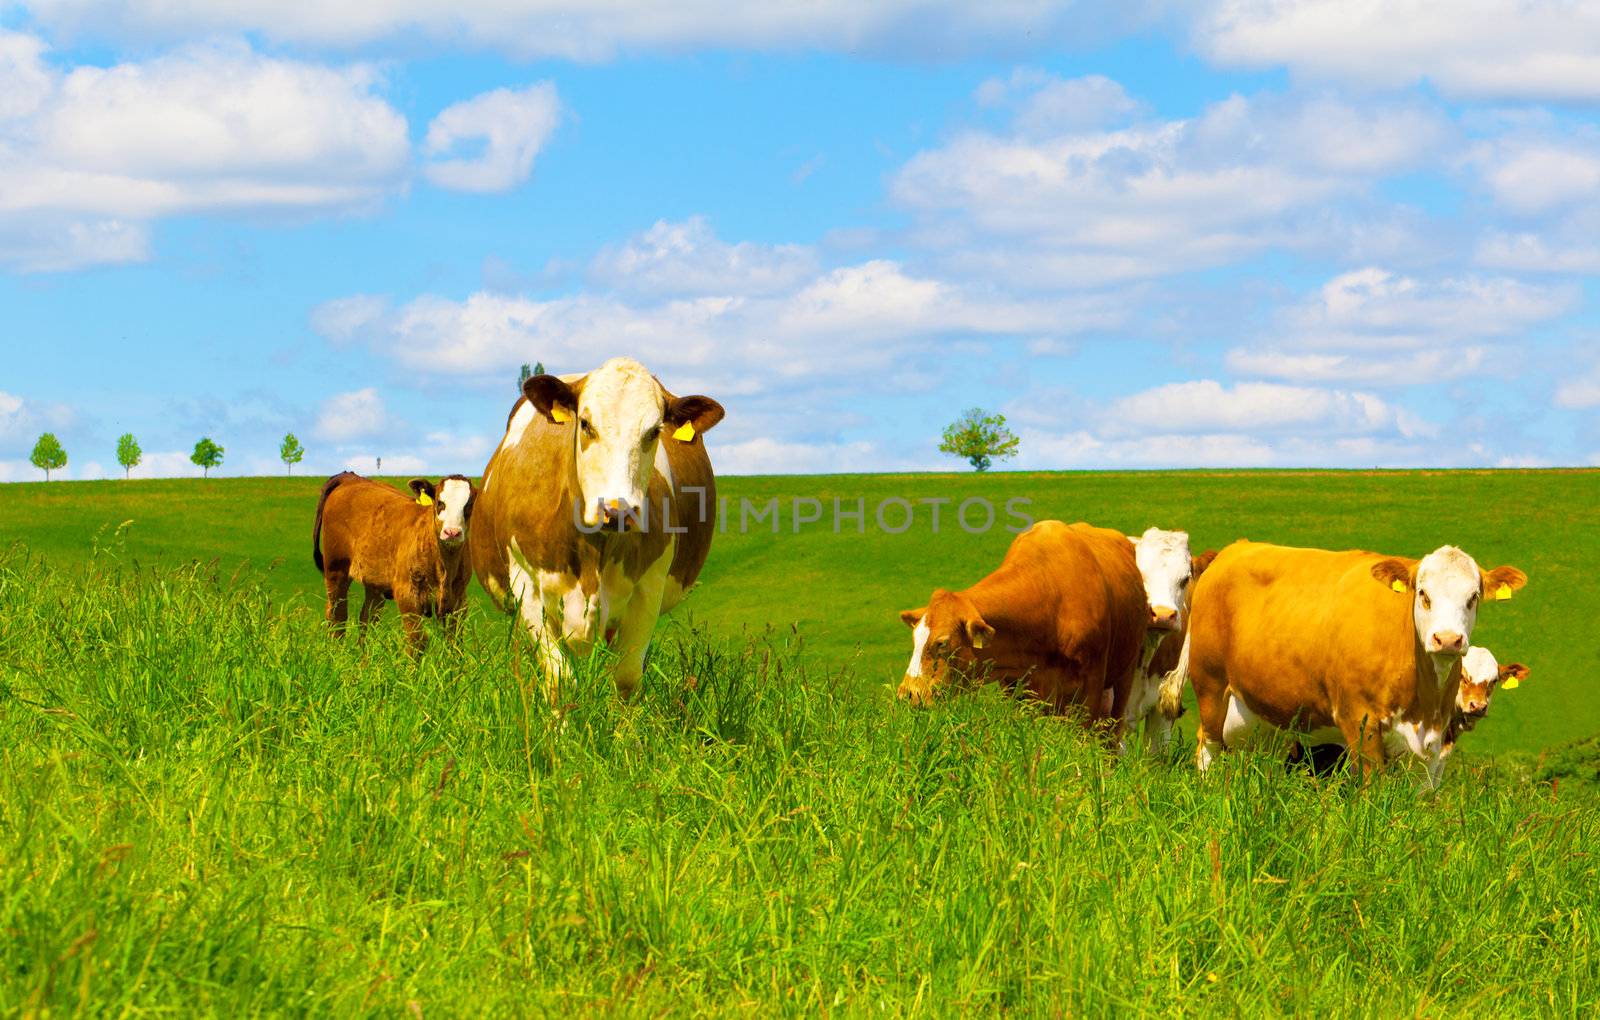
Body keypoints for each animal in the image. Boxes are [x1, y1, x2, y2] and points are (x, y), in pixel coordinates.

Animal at [312, 473, 473, 652]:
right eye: (439, 502)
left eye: (469, 505)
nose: (452, 532)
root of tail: (350, 478)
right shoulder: (406, 593)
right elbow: (417, 640)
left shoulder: (459, 599)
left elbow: (454, 642)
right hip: (336, 569)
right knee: (337, 617)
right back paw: (336, 653)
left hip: (375, 583)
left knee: (367, 620)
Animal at [467, 354, 726, 706]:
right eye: (586, 424)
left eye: (654, 431)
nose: (617, 510)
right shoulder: (526, 586)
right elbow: (560, 679)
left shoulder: (649, 588)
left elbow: (626, 679)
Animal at [902, 524, 1152, 738]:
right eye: (915, 640)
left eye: (942, 643)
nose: (908, 693)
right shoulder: (1017, 690)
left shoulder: (1091, 686)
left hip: (1125, 675)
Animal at [1164, 543, 1523, 792]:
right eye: (1423, 593)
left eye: (1473, 596)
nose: (1447, 639)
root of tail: (1234, 548)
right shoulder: (1359, 722)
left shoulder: (1431, 744)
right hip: (1212, 690)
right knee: (1207, 748)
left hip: (1266, 717)